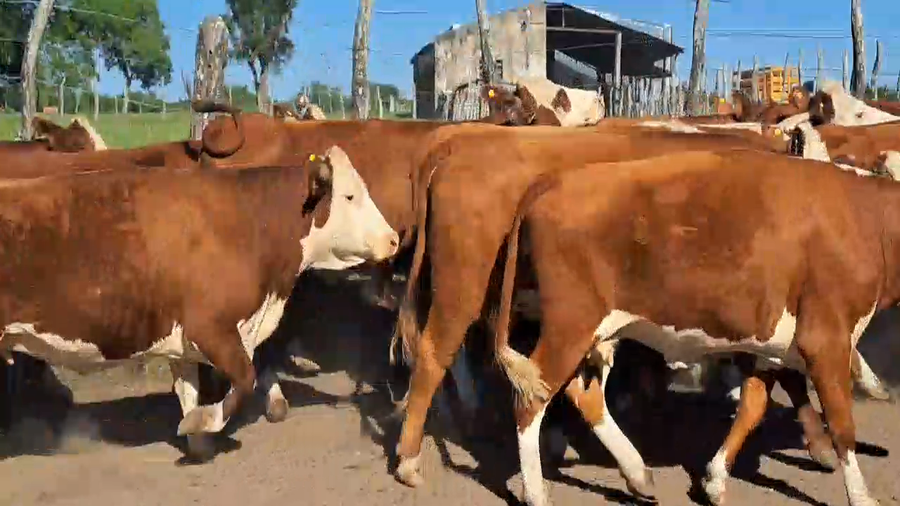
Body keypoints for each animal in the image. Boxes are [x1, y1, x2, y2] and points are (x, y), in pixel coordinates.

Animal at [0, 146, 399, 459]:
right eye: (349, 196)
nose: (394, 239)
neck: (247, 223)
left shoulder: (183, 340)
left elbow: (188, 389)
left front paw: (198, 442)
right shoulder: (211, 328)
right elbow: (243, 380)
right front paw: (202, 422)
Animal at [487, 148, 894, 506]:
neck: (868, 218)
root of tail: (558, 179)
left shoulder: (774, 345)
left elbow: (753, 406)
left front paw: (714, 481)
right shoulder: (825, 339)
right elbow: (842, 424)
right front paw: (861, 497)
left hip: (596, 333)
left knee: (583, 392)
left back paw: (638, 474)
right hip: (571, 324)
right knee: (531, 401)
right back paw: (537, 494)